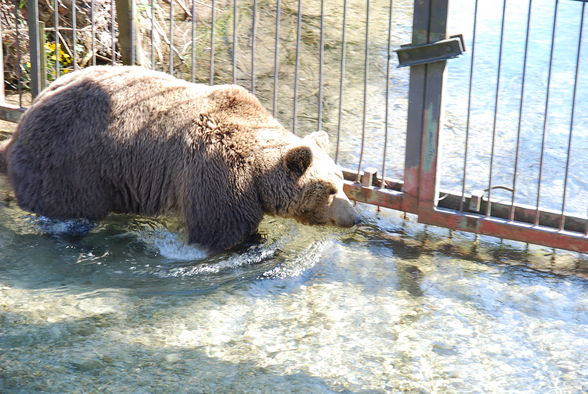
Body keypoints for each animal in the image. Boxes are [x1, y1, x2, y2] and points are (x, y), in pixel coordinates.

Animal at [0, 64, 358, 249]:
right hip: (69, 165)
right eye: (328, 189)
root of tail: (25, 118)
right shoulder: (217, 174)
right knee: (68, 211)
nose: (354, 217)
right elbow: (221, 233)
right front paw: (257, 245)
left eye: (342, 182)